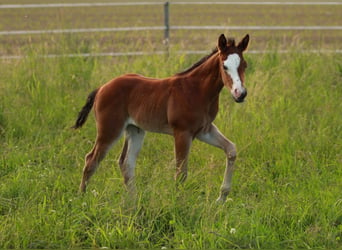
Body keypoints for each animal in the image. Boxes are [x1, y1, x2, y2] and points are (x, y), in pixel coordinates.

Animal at [73, 33, 248, 202]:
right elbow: (181, 173)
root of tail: (101, 88)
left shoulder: (204, 130)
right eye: (224, 66)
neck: (196, 90)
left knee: (126, 163)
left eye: (244, 65)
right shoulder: (182, 132)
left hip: (135, 129)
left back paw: (133, 202)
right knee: (91, 160)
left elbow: (231, 150)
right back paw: (81, 198)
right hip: (110, 130)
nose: (240, 94)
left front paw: (221, 198)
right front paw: (178, 204)